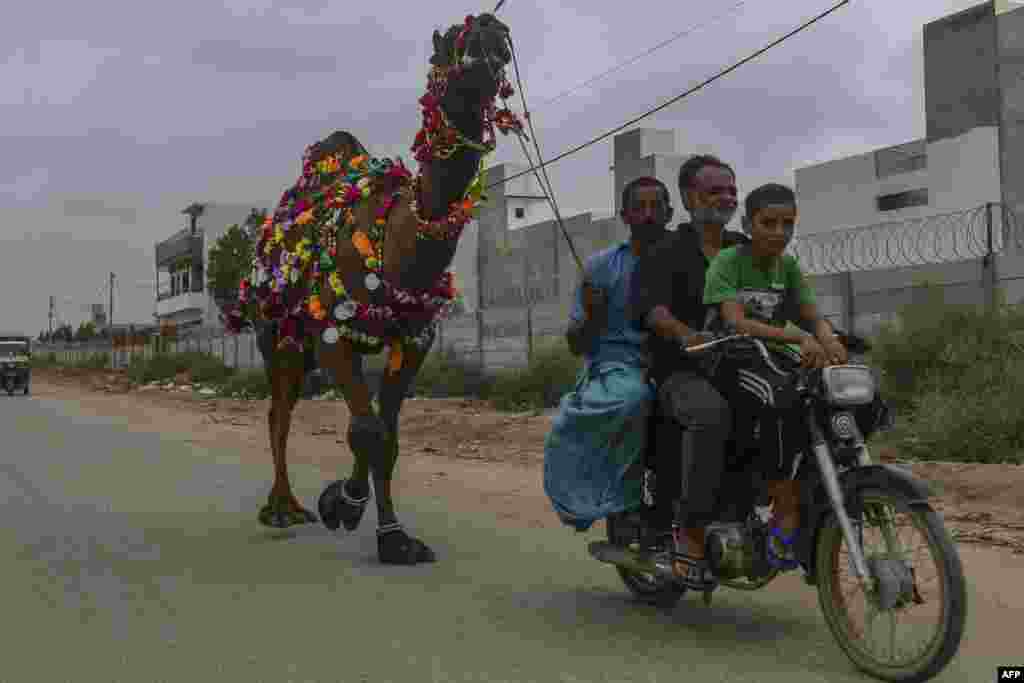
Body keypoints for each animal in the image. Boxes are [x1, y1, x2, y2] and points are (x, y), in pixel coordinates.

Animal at [227, 12, 524, 565]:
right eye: (447, 46)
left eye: (501, 48)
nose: (489, 31)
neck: (398, 243)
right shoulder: (330, 331)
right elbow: (366, 430)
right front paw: (342, 504)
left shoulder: (414, 338)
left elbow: (385, 433)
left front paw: (390, 534)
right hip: (277, 333)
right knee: (279, 413)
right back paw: (282, 509)